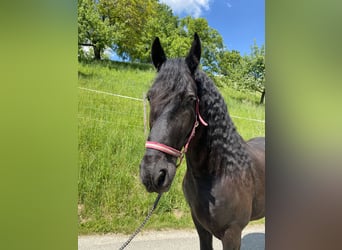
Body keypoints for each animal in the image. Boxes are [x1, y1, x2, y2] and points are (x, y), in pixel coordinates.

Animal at [139, 33, 264, 250]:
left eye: (190, 98)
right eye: (149, 96)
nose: (153, 174)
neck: (220, 172)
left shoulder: (232, 234)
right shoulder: (200, 226)